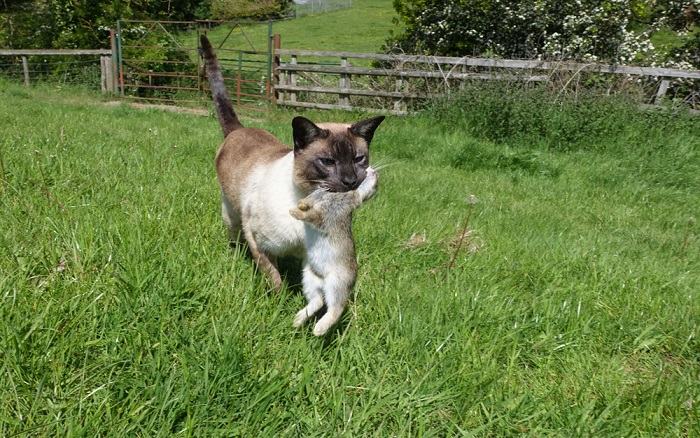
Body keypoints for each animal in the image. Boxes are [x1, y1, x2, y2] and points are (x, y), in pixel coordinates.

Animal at [200, 36, 386, 292]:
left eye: (358, 159)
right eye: (328, 162)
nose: (350, 181)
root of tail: (239, 129)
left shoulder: (316, 256)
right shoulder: (259, 243)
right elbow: (274, 279)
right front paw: (278, 300)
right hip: (231, 216)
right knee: (234, 239)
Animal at [288, 168, 380, 336]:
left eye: (377, 180)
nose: (372, 170)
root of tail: (322, 280)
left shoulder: (327, 214)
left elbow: (312, 217)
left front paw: (293, 212)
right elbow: (309, 202)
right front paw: (300, 205)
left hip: (337, 283)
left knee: (335, 308)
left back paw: (318, 330)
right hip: (309, 278)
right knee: (318, 301)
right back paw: (297, 321)